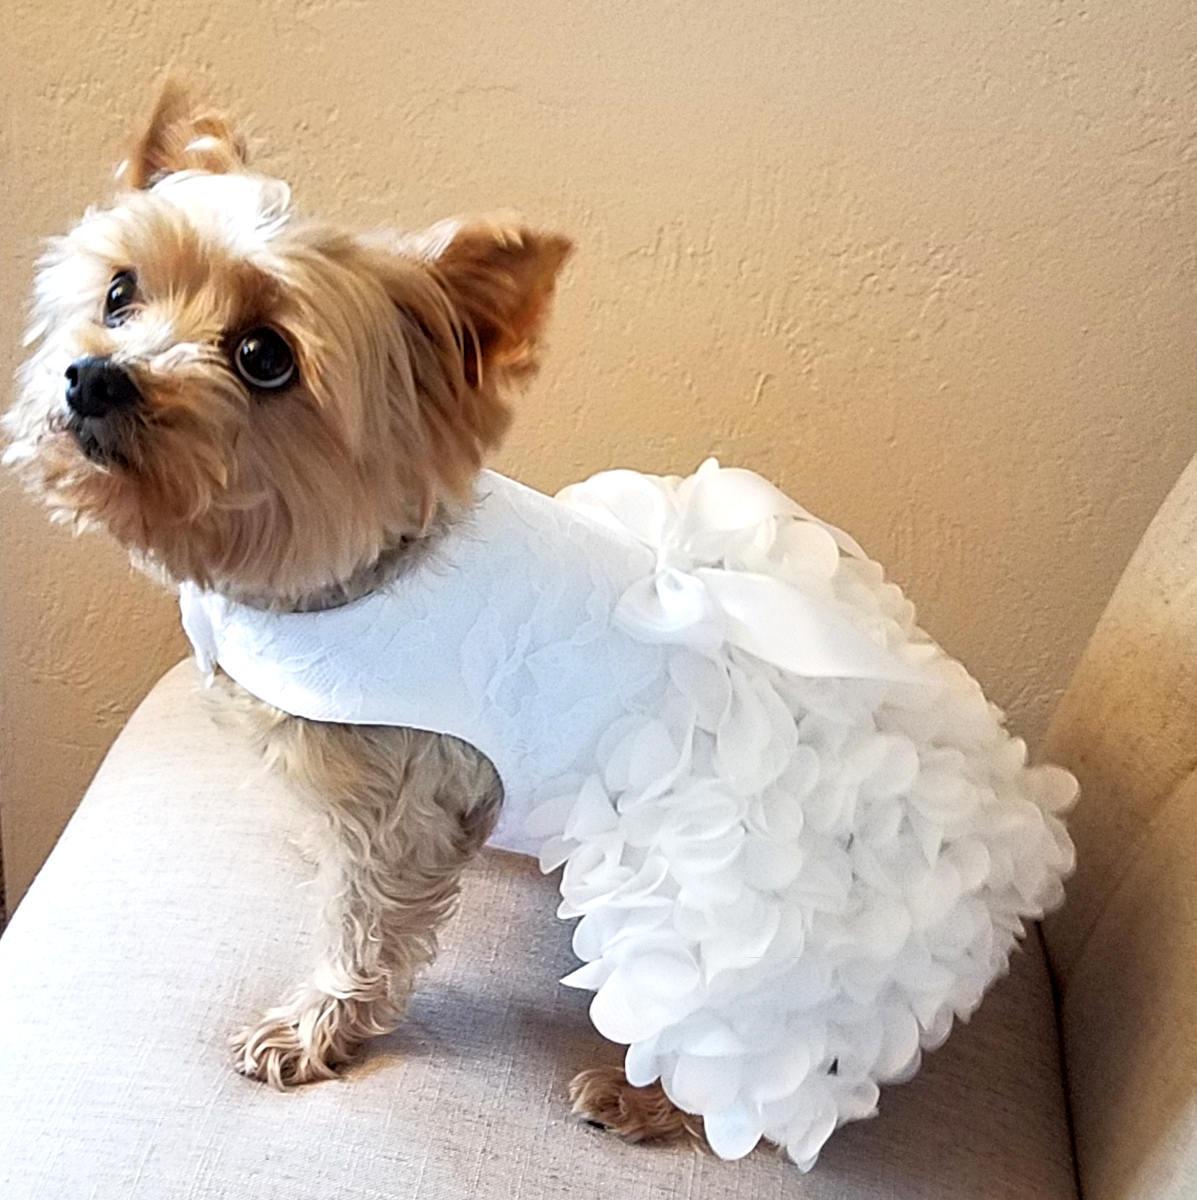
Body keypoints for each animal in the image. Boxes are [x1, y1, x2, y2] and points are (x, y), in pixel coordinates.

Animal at [2, 87, 676, 1142]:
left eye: (263, 356)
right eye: (119, 293)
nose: (95, 376)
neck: (359, 575)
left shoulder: (398, 805)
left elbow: (363, 929)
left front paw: (314, 1030)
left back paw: (642, 1095)